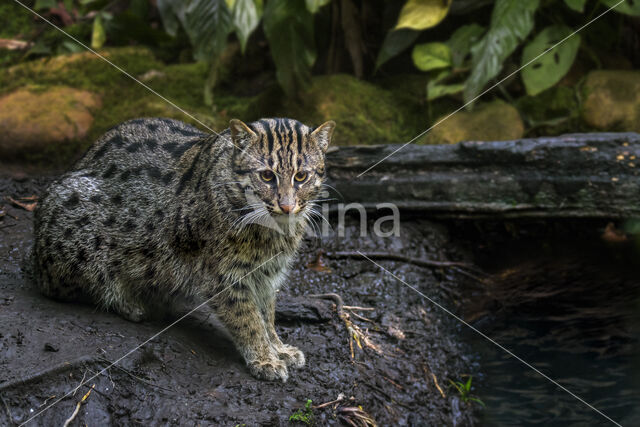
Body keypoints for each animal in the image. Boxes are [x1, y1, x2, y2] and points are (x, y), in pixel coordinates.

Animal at [31, 116, 336, 382]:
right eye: (267, 176)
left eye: (301, 176)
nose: (287, 206)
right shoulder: (221, 276)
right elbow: (248, 318)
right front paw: (264, 358)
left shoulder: (268, 274)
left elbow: (267, 316)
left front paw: (278, 348)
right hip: (75, 227)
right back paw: (131, 303)